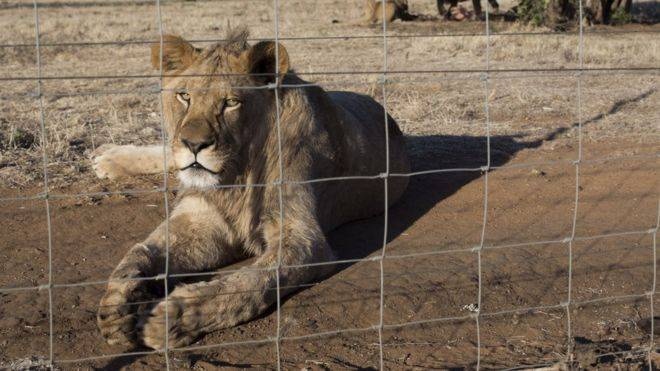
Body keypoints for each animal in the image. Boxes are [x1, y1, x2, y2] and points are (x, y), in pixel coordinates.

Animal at [94, 29, 410, 352]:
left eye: (231, 102)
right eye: (184, 96)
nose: (194, 145)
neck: (236, 174)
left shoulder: (305, 240)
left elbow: (254, 281)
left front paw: (174, 318)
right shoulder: (201, 219)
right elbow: (141, 251)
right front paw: (118, 303)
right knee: (168, 154)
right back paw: (108, 157)